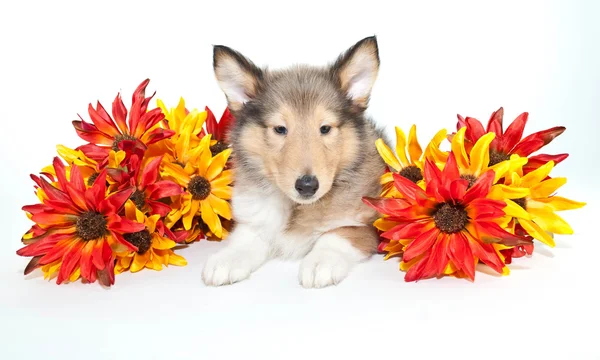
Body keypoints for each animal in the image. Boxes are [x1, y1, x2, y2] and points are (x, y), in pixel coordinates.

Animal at [204, 37, 386, 290]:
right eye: (280, 129)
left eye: (325, 128)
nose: (307, 185)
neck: (296, 207)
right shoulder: (256, 220)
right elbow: (246, 239)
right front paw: (226, 260)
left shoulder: (366, 225)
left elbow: (336, 234)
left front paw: (320, 263)